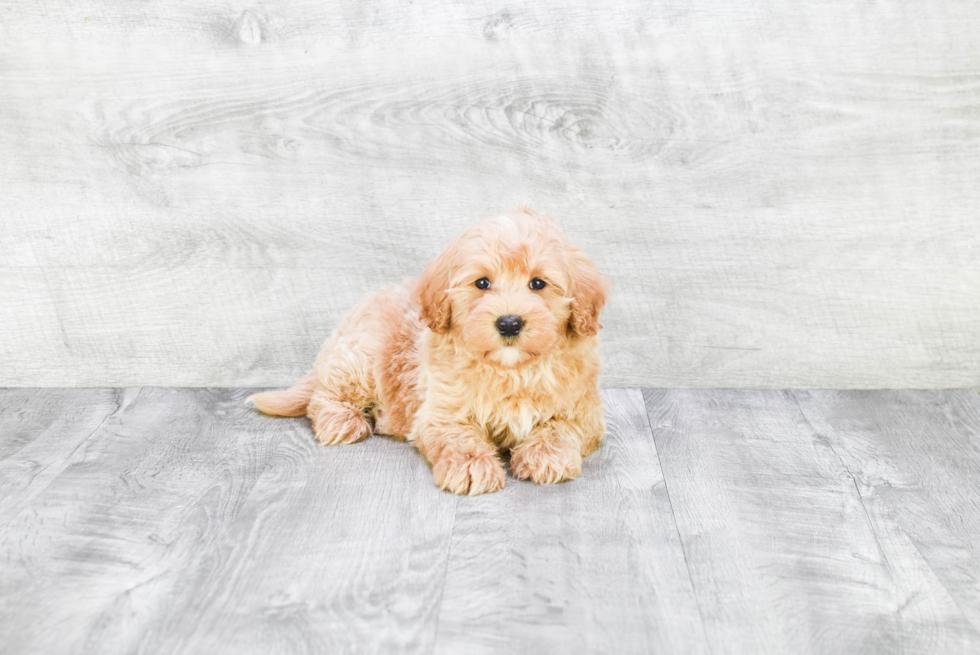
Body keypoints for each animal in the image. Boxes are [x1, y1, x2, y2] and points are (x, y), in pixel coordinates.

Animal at [249, 208, 608, 494]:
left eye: (538, 284)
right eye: (482, 283)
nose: (509, 323)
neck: (510, 370)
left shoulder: (582, 412)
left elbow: (560, 429)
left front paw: (547, 456)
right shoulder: (441, 411)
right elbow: (458, 437)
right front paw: (471, 466)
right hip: (361, 359)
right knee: (322, 395)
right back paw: (342, 421)